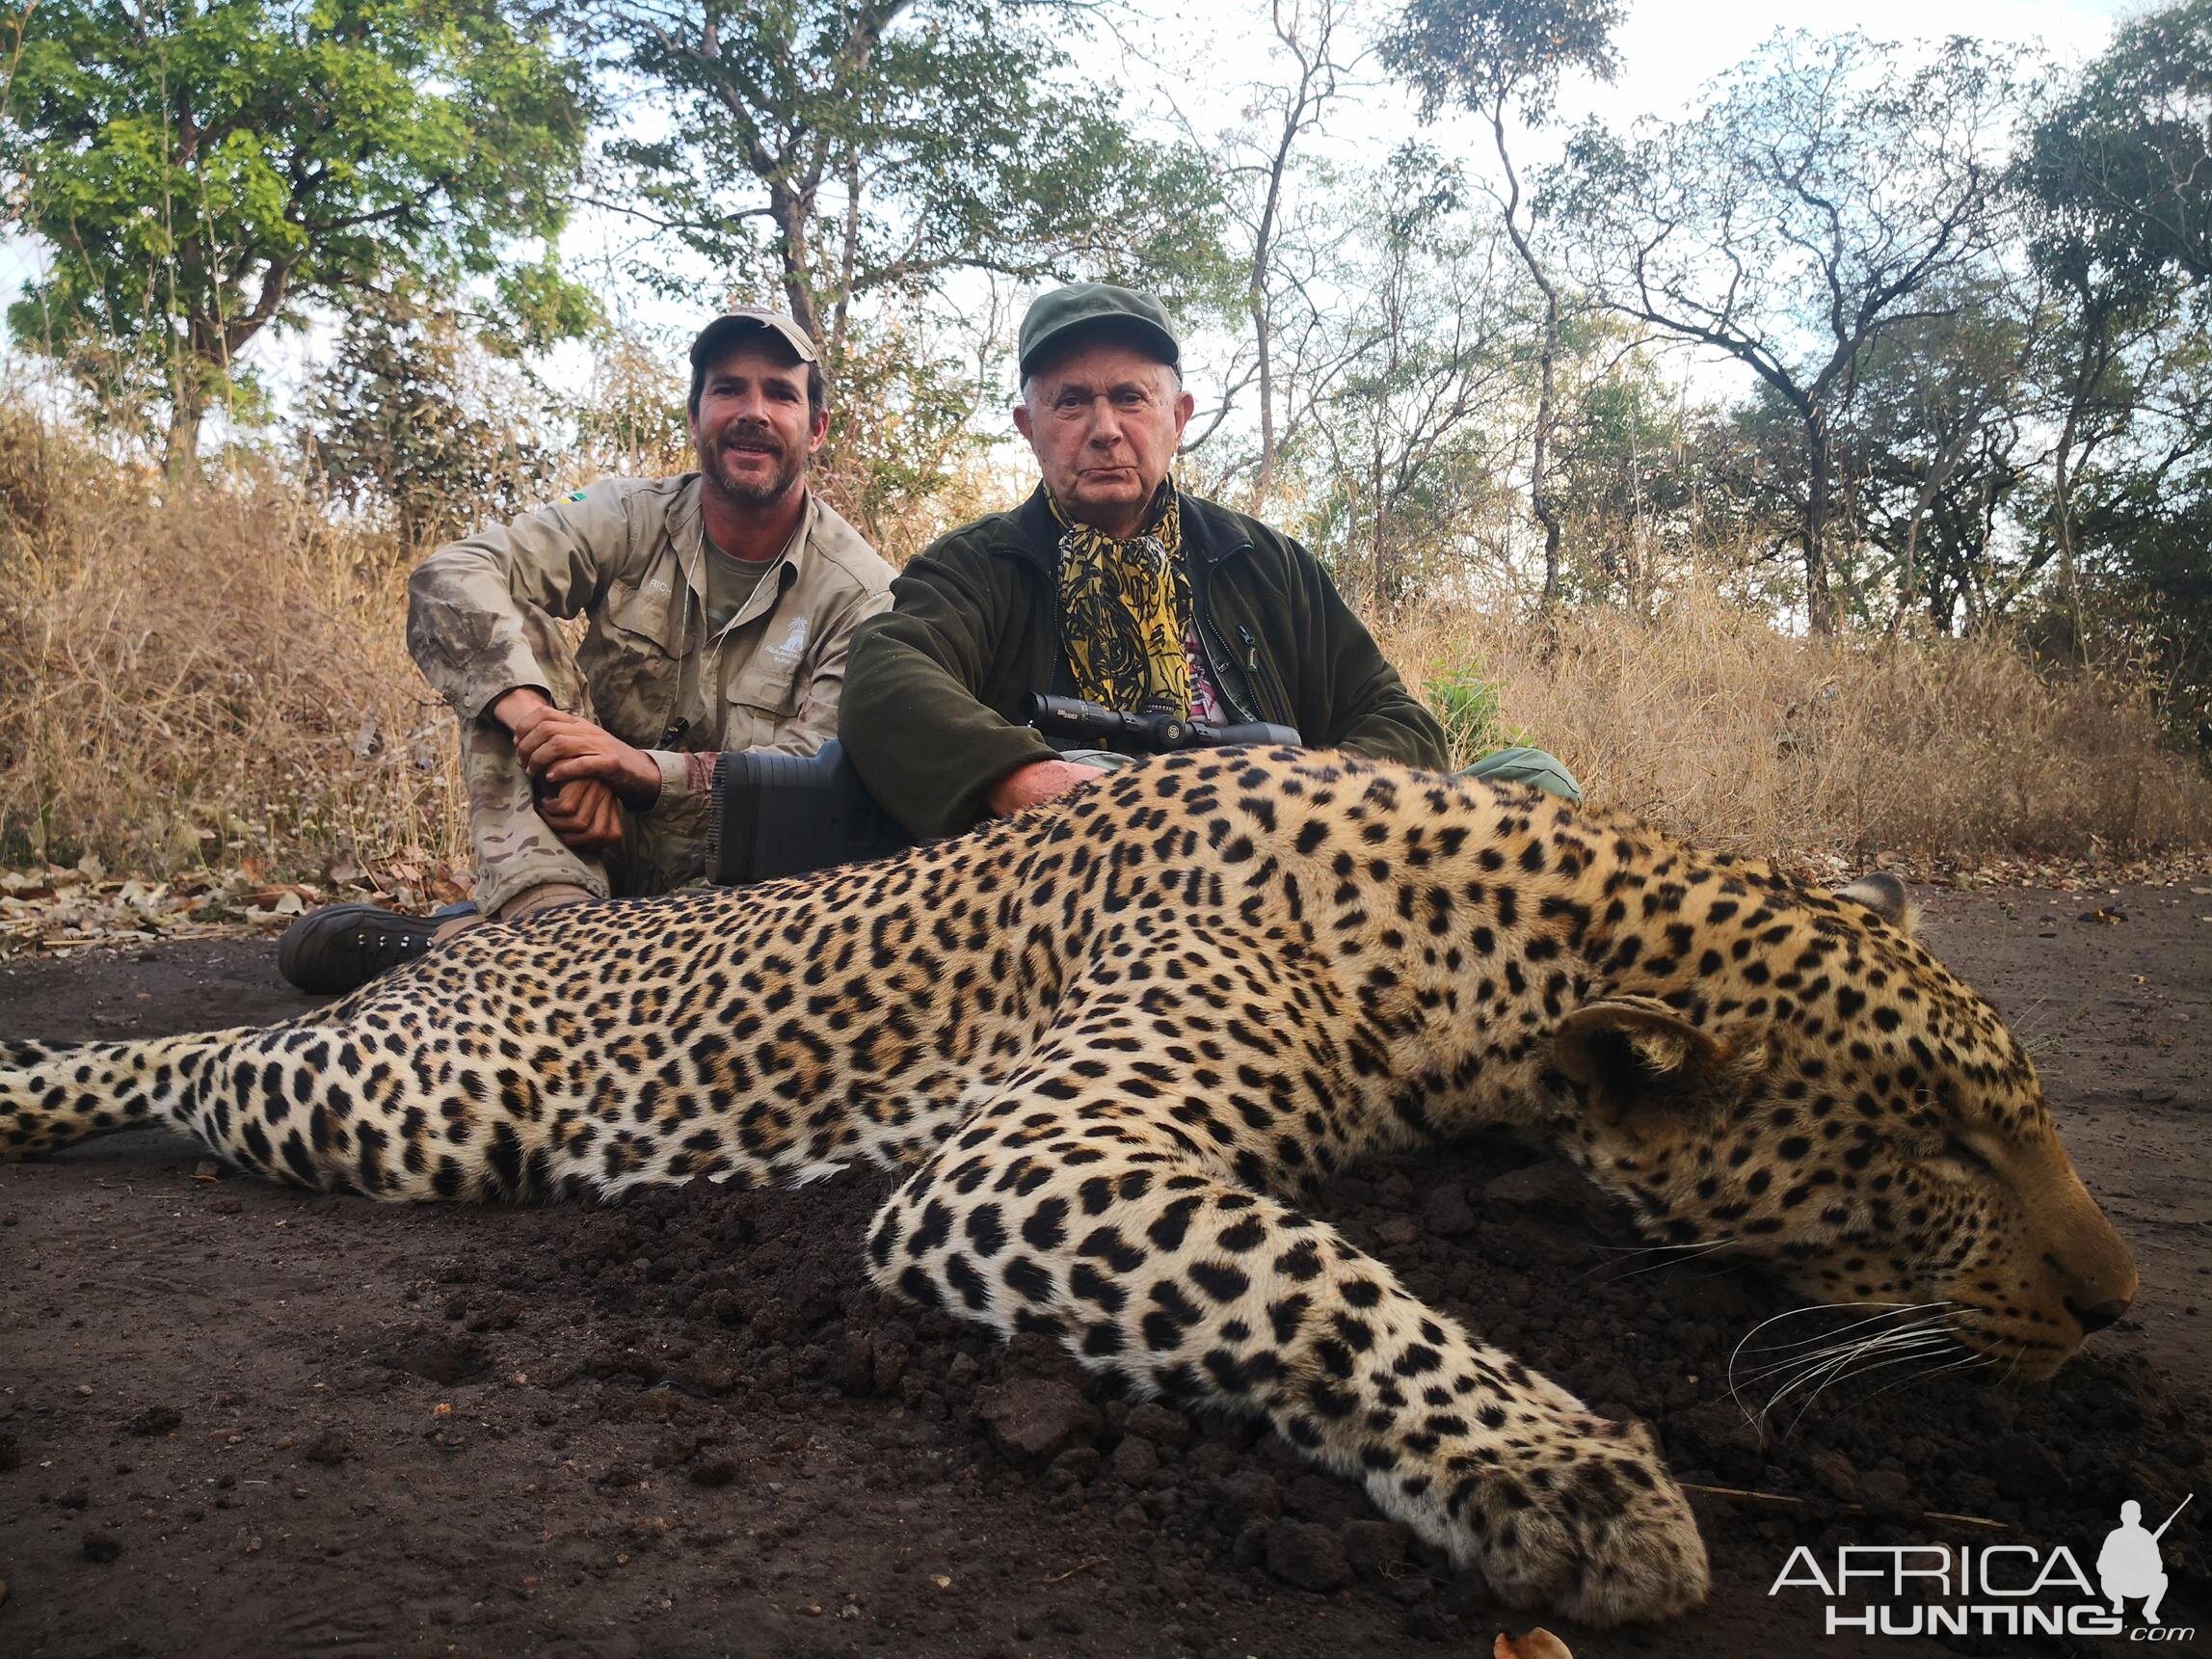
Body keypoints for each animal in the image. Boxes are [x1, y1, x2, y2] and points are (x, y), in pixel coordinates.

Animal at [4, 747, 2141, 1627]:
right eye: (1941, 1142)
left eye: (2027, 1118)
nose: (2118, 1303)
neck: (1496, 944)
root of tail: (485, 939)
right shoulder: (1026, 1150)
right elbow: (1306, 1271)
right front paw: (1566, 1471)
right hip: (416, 1099)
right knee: (188, 1058)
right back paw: (35, 1086)